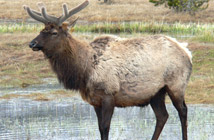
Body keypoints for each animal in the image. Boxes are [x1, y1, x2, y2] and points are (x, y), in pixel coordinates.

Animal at [23, 0, 192, 139]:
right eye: (41, 30)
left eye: (54, 33)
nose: (32, 43)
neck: (84, 70)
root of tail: (187, 51)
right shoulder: (95, 100)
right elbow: (99, 128)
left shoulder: (108, 94)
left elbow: (105, 127)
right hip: (156, 92)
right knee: (162, 116)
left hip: (176, 84)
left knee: (183, 111)